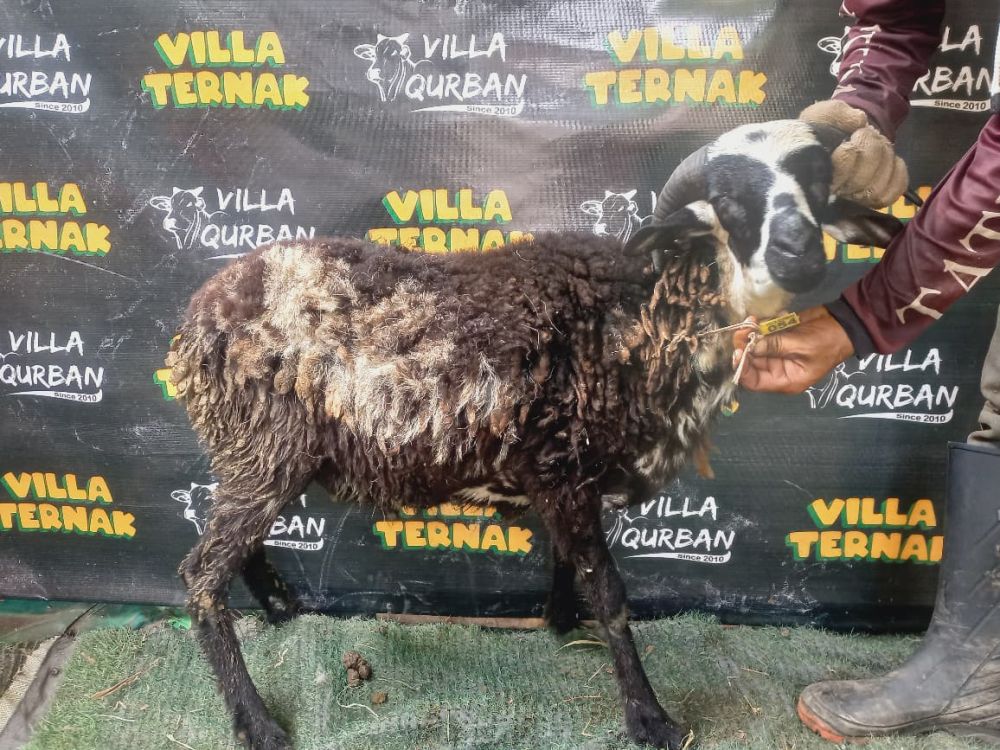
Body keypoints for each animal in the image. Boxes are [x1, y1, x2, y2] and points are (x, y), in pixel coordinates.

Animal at [166, 120, 903, 750]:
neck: (645, 312)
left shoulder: (557, 472)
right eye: (726, 200)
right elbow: (610, 592)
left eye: (818, 187)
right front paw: (649, 716)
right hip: (263, 446)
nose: (801, 254)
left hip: (257, 455)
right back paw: (257, 722)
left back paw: (281, 609)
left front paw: (559, 619)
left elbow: (567, 561)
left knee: (236, 550)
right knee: (201, 574)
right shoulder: (563, 469)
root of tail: (196, 318)